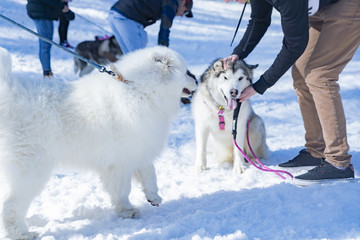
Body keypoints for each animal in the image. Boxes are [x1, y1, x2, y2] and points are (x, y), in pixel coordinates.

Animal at [0, 46, 197, 239]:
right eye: (186, 72)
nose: (196, 79)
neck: (140, 89)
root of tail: (9, 95)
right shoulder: (120, 163)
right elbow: (123, 190)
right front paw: (127, 211)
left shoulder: (138, 148)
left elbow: (149, 173)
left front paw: (153, 196)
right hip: (31, 170)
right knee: (11, 205)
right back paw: (22, 233)